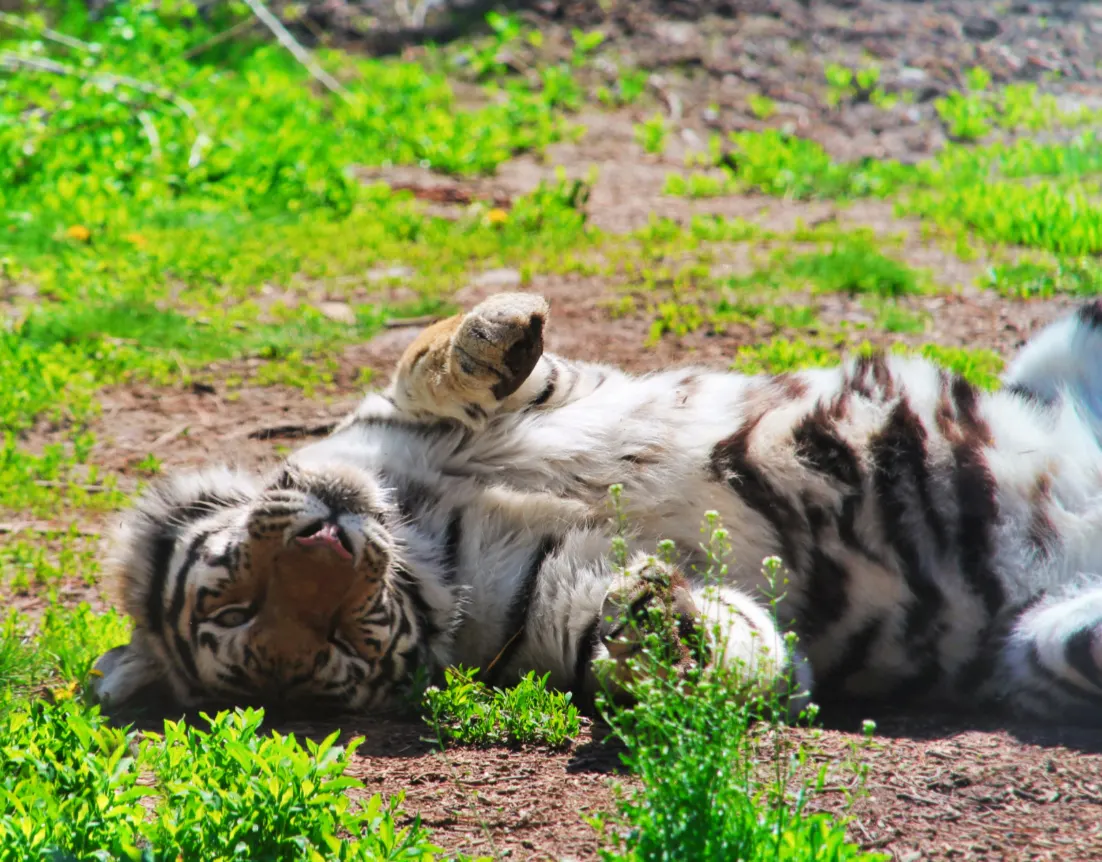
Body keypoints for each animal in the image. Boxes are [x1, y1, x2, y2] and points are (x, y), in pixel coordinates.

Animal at [88, 293, 1102, 727]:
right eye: (245, 619)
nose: (331, 540)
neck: (421, 530)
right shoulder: (553, 615)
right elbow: (696, 652)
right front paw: (662, 632)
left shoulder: (468, 408)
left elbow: (432, 363)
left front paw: (501, 327)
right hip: (1047, 642)